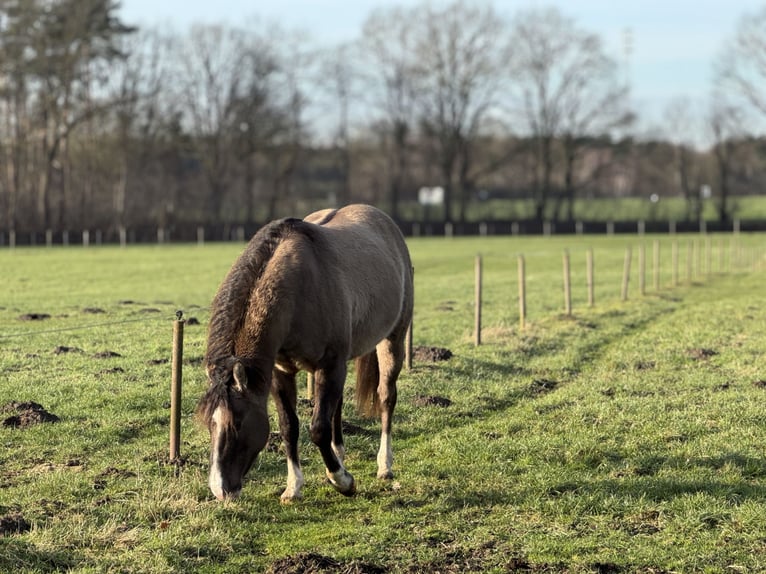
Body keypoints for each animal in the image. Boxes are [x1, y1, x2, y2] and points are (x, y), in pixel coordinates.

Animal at [196, 204, 414, 502]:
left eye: (237, 424)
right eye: (210, 424)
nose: (221, 490)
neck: (297, 291)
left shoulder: (329, 366)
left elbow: (318, 428)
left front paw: (342, 481)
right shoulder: (281, 372)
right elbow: (290, 427)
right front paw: (293, 487)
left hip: (393, 340)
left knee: (386, 397)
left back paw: (384, 466)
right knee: (337, 406)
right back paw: (340, 454)